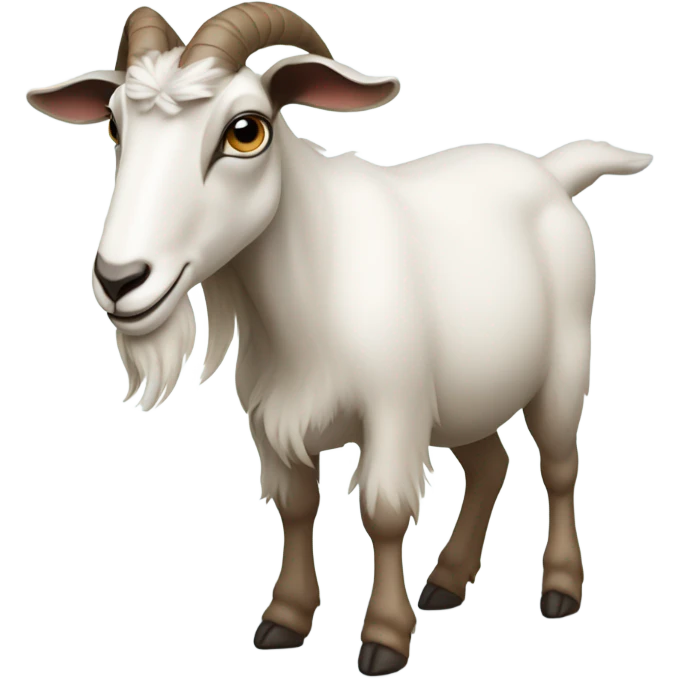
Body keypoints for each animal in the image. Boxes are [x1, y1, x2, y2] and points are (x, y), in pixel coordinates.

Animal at [26, 3, 651, 676]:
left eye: (245, 131)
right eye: (114, 125)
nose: (119, 279)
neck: (314, 286)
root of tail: (547, 173)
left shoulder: (395, 408)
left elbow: (383, 513)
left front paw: (384, 638)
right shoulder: (269, 417)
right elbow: (297, 506)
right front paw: (284, 619)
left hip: (563, 364)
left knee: (560, 466)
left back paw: (560, 588)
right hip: (468, 390)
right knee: (491, 465)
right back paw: (446, 582)